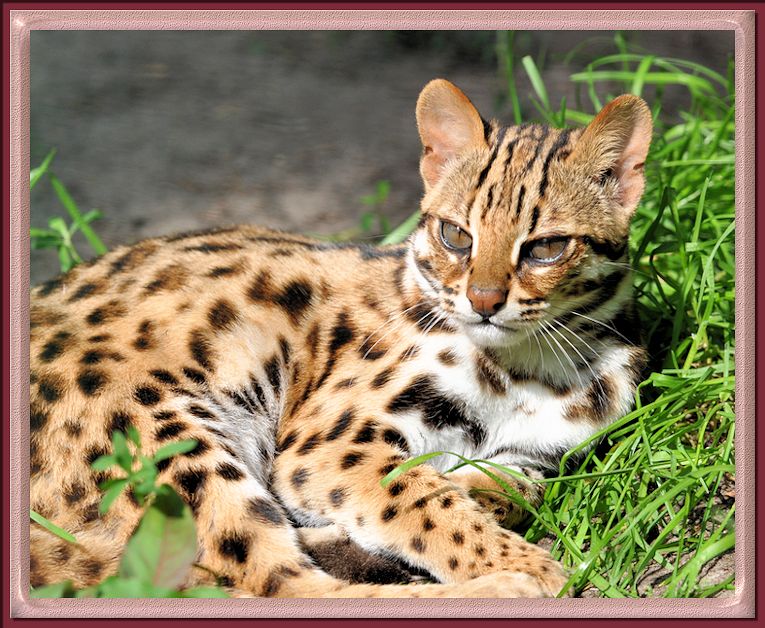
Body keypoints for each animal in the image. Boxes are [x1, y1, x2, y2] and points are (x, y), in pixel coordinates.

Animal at [29, 78, 652, 600]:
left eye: (546, 247)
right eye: (455, 235)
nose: (483, 301)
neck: (530, 367)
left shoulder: (531, 456)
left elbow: (501, 489)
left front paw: (477, 500)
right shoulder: (329, 443)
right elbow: (427, 502)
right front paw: (527, 564)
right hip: (166, 433)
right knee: (280, 586)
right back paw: (506, 586)